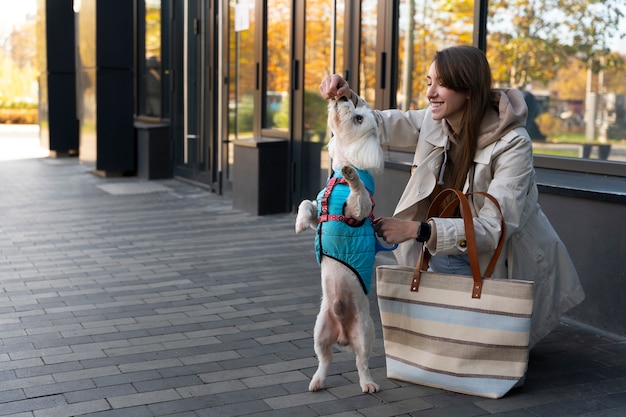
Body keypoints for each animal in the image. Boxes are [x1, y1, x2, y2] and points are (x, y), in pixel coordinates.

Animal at [294, 96, 386, 392]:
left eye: (358, 118)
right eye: (356, 109)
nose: (344, 96)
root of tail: (344, 334)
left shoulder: (358, 211)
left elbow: (358, 192)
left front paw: (352, 174)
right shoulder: (320, 213)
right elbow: (305, 204)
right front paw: (299, 223)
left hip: (366, 332)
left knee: (361, 362)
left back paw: (368, 384)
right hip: (319, 331)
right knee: (326, 359)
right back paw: (317, 380)